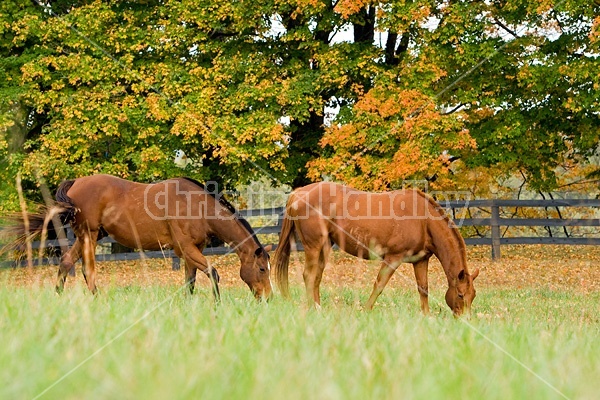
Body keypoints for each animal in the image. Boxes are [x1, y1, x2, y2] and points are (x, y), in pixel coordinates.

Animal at [4, 174, 270, 300]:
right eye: (262, 269)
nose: (267, 298)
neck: (196, 205)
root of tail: (75, 183)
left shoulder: (193, 251)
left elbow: (190, 281)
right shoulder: (185, 249)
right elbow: (213, 274)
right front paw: (217, 305)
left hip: (86, 236)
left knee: (67, 262)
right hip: (88, 235)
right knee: (88, 270)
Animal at [274, 181, 480, 316]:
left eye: (473, 296)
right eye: (460, 295)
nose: (465, 321)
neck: (423, 220)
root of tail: (298, 193)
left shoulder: (421, 260)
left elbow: (423, 288)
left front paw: (426, 316)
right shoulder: (393, 258)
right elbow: (379, 285)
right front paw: (366, 310)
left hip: (325, 247)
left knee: (316, 277)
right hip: (314, 246)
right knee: (309, 276)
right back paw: (313, 309)